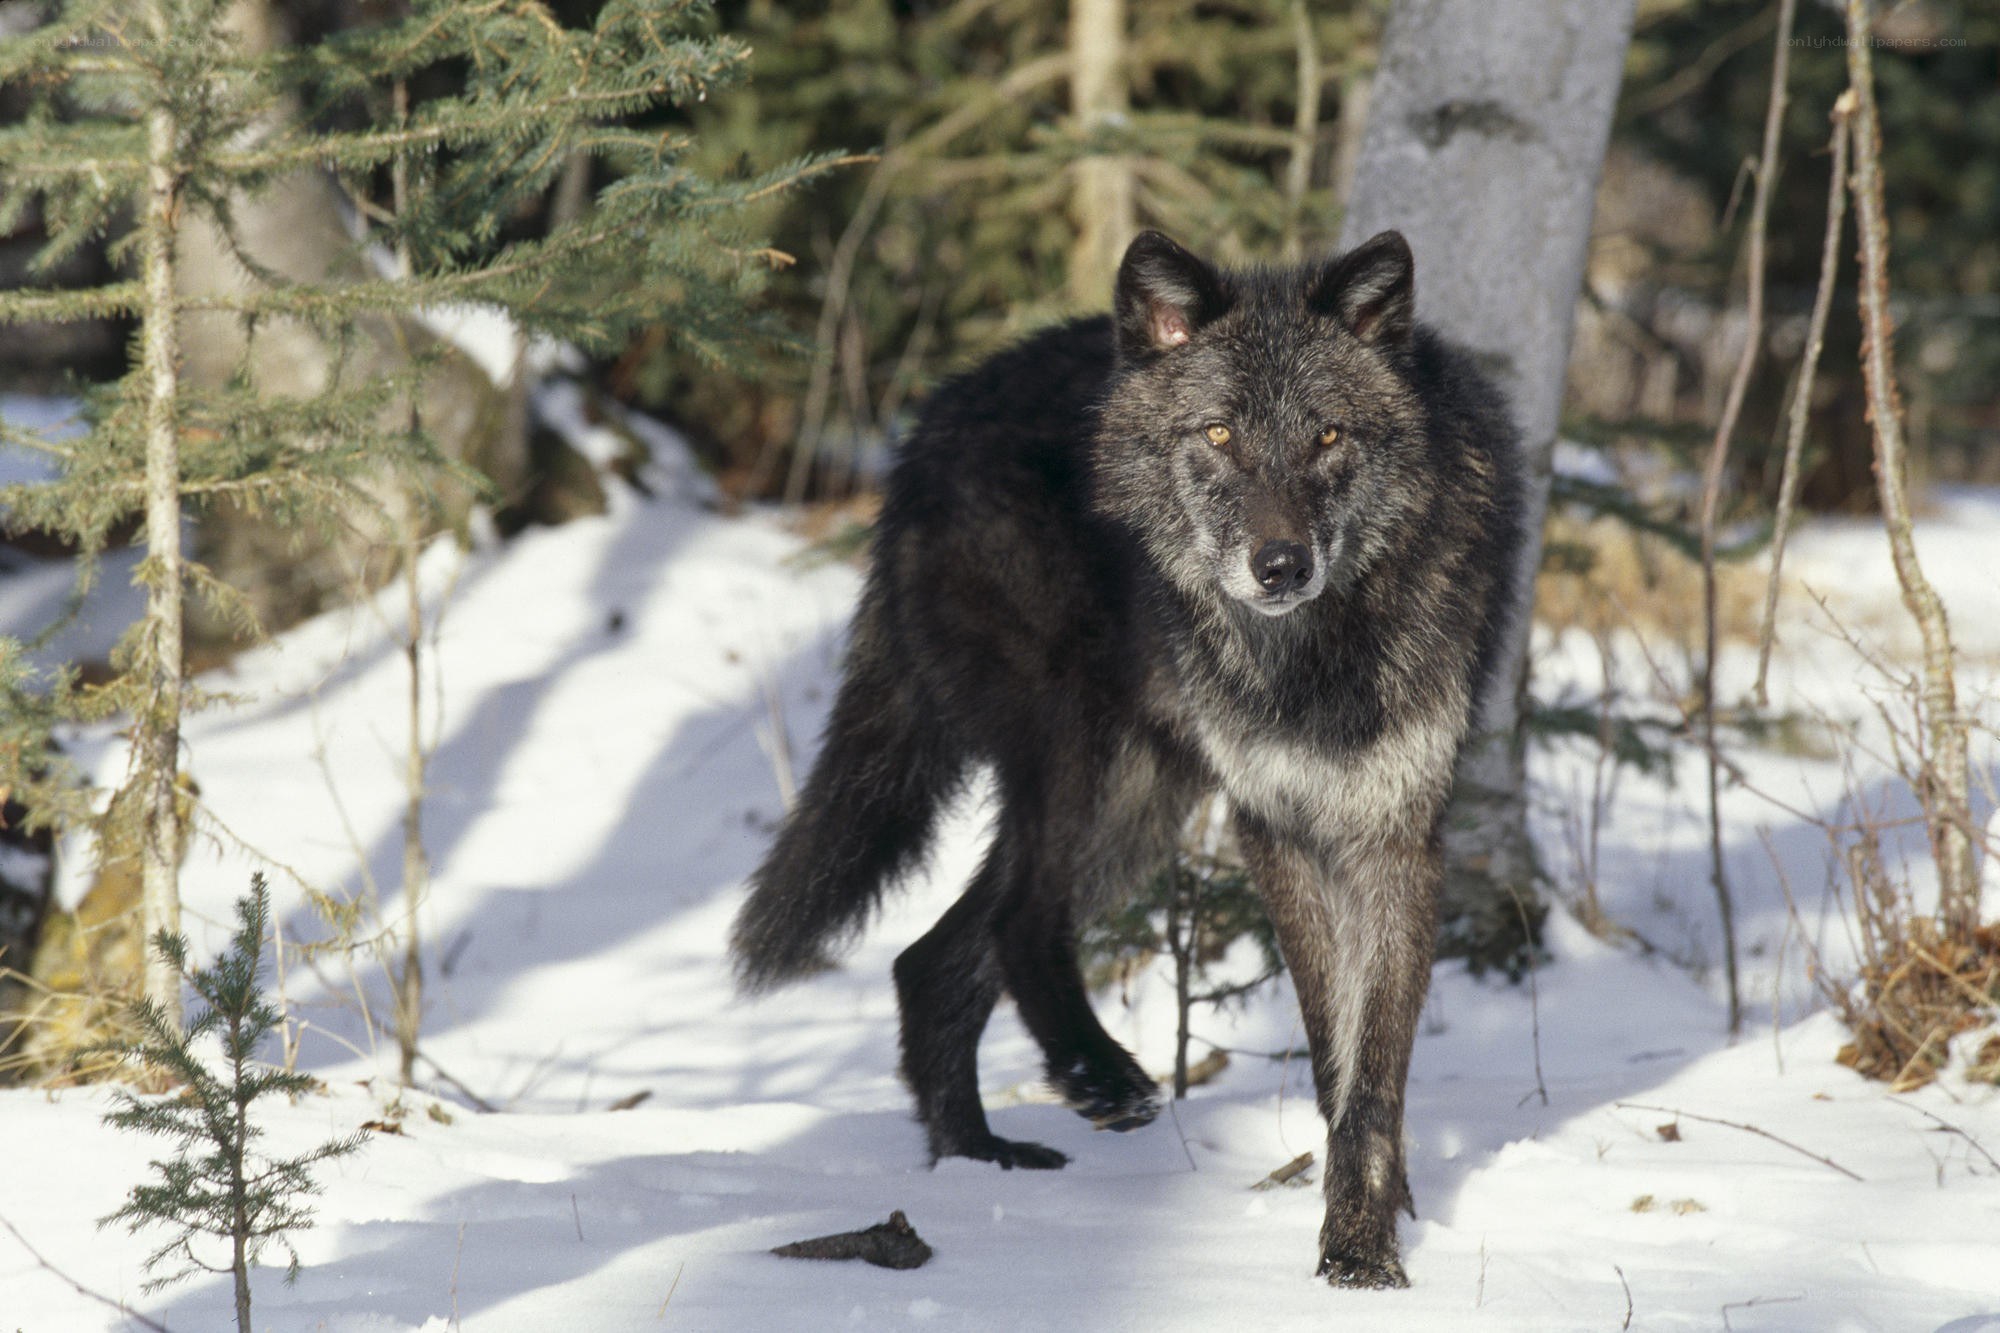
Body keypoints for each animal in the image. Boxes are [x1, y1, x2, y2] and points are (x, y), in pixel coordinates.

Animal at [731, 229, 1524, 1288]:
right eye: (1220, 435)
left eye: (1328, 437)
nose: (1281, 566)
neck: (1312, 657)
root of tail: (927, 429)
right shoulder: (1273, 827)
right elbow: (1332, 1049)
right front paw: (1358, 1244)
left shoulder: (1396, 835)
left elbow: (1373, 1073)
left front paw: (1369, 1238)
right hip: (1082, 758)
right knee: (1018, 920)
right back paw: (1096, 1078)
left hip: (1137, 809)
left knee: (932, 955)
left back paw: (977, 1162)